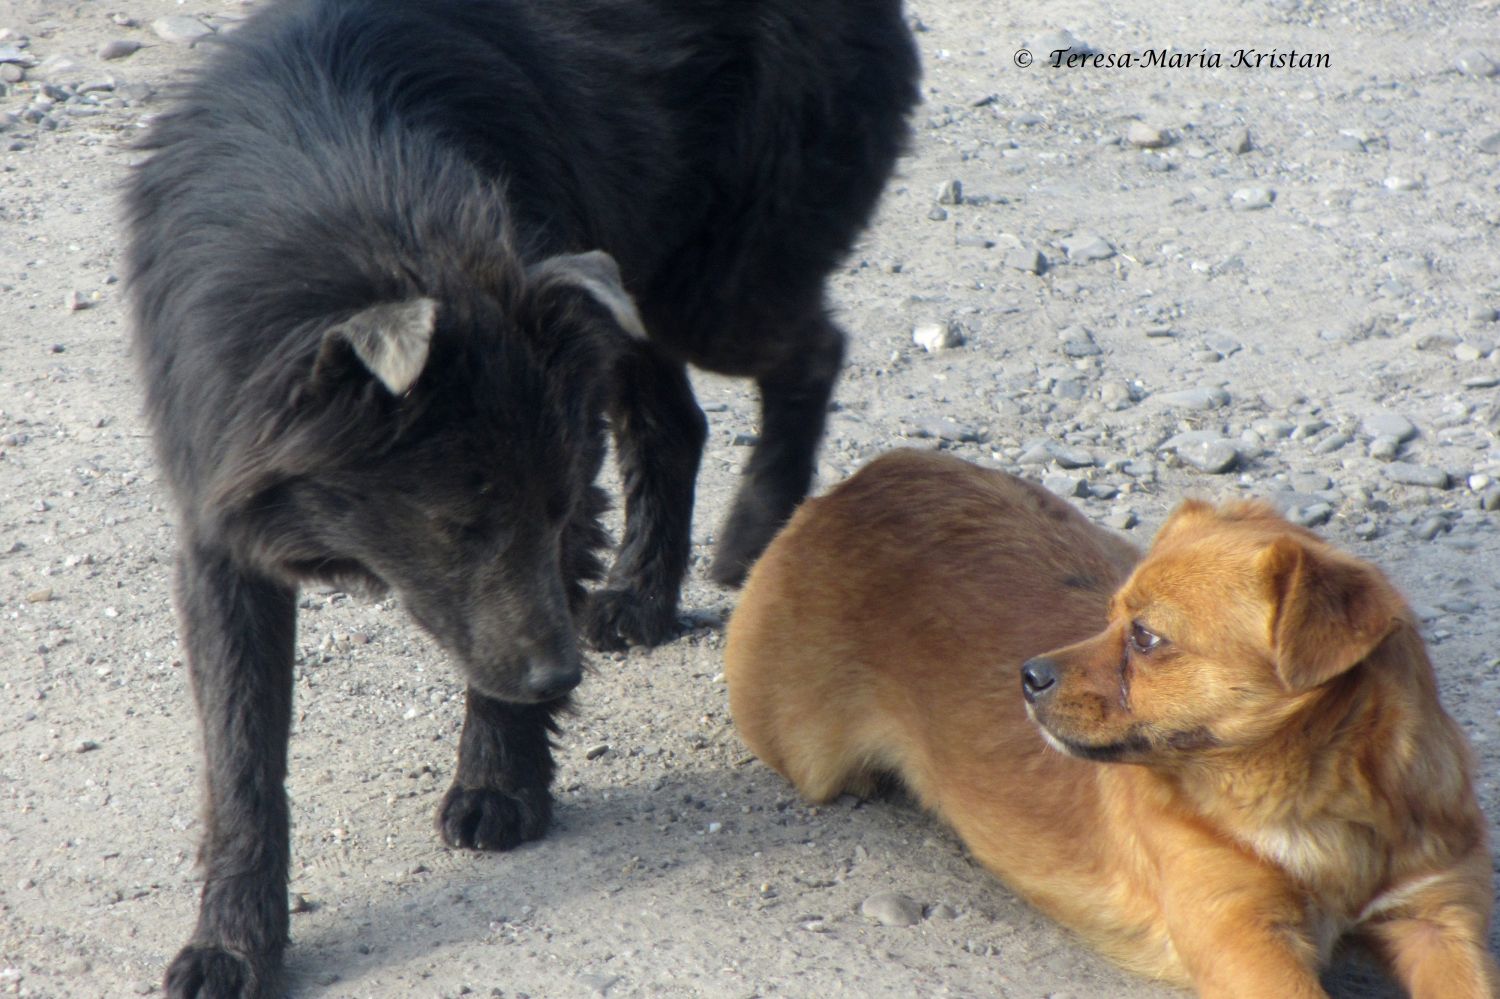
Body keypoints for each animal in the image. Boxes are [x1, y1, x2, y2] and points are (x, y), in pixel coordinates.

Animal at [129, 0, 918, 990]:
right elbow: (240, 758)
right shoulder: (222, 523)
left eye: (550, 510)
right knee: (678, 420)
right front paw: (231, 940)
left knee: (812, 349)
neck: (340, 175)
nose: (562, 677)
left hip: (707, 287)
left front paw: (498, 782)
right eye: (456, 526)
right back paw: (641, 596)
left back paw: (752, 530)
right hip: (630, 292)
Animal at [726, 450, 1500, 996]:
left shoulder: (1437, 918)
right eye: (1107, 617)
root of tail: (858, 482)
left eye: (1146, 638)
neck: (1317, 808)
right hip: (805, 750)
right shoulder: (1246, 940)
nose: (1027, 674)